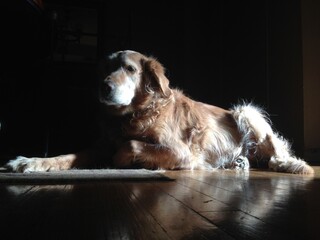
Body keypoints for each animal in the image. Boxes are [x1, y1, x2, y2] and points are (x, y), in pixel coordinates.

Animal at [4, 49, 316, 173]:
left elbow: (130, 145)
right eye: (105, 69)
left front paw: (121, 160)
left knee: (277, 153)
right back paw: (238, 163)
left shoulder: (182, 153)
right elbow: (64, 156)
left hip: (244, 111)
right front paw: (29, 161)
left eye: (130, 69)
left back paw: (289, 165)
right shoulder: (98, 146)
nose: (104, 87)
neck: (132, 115)